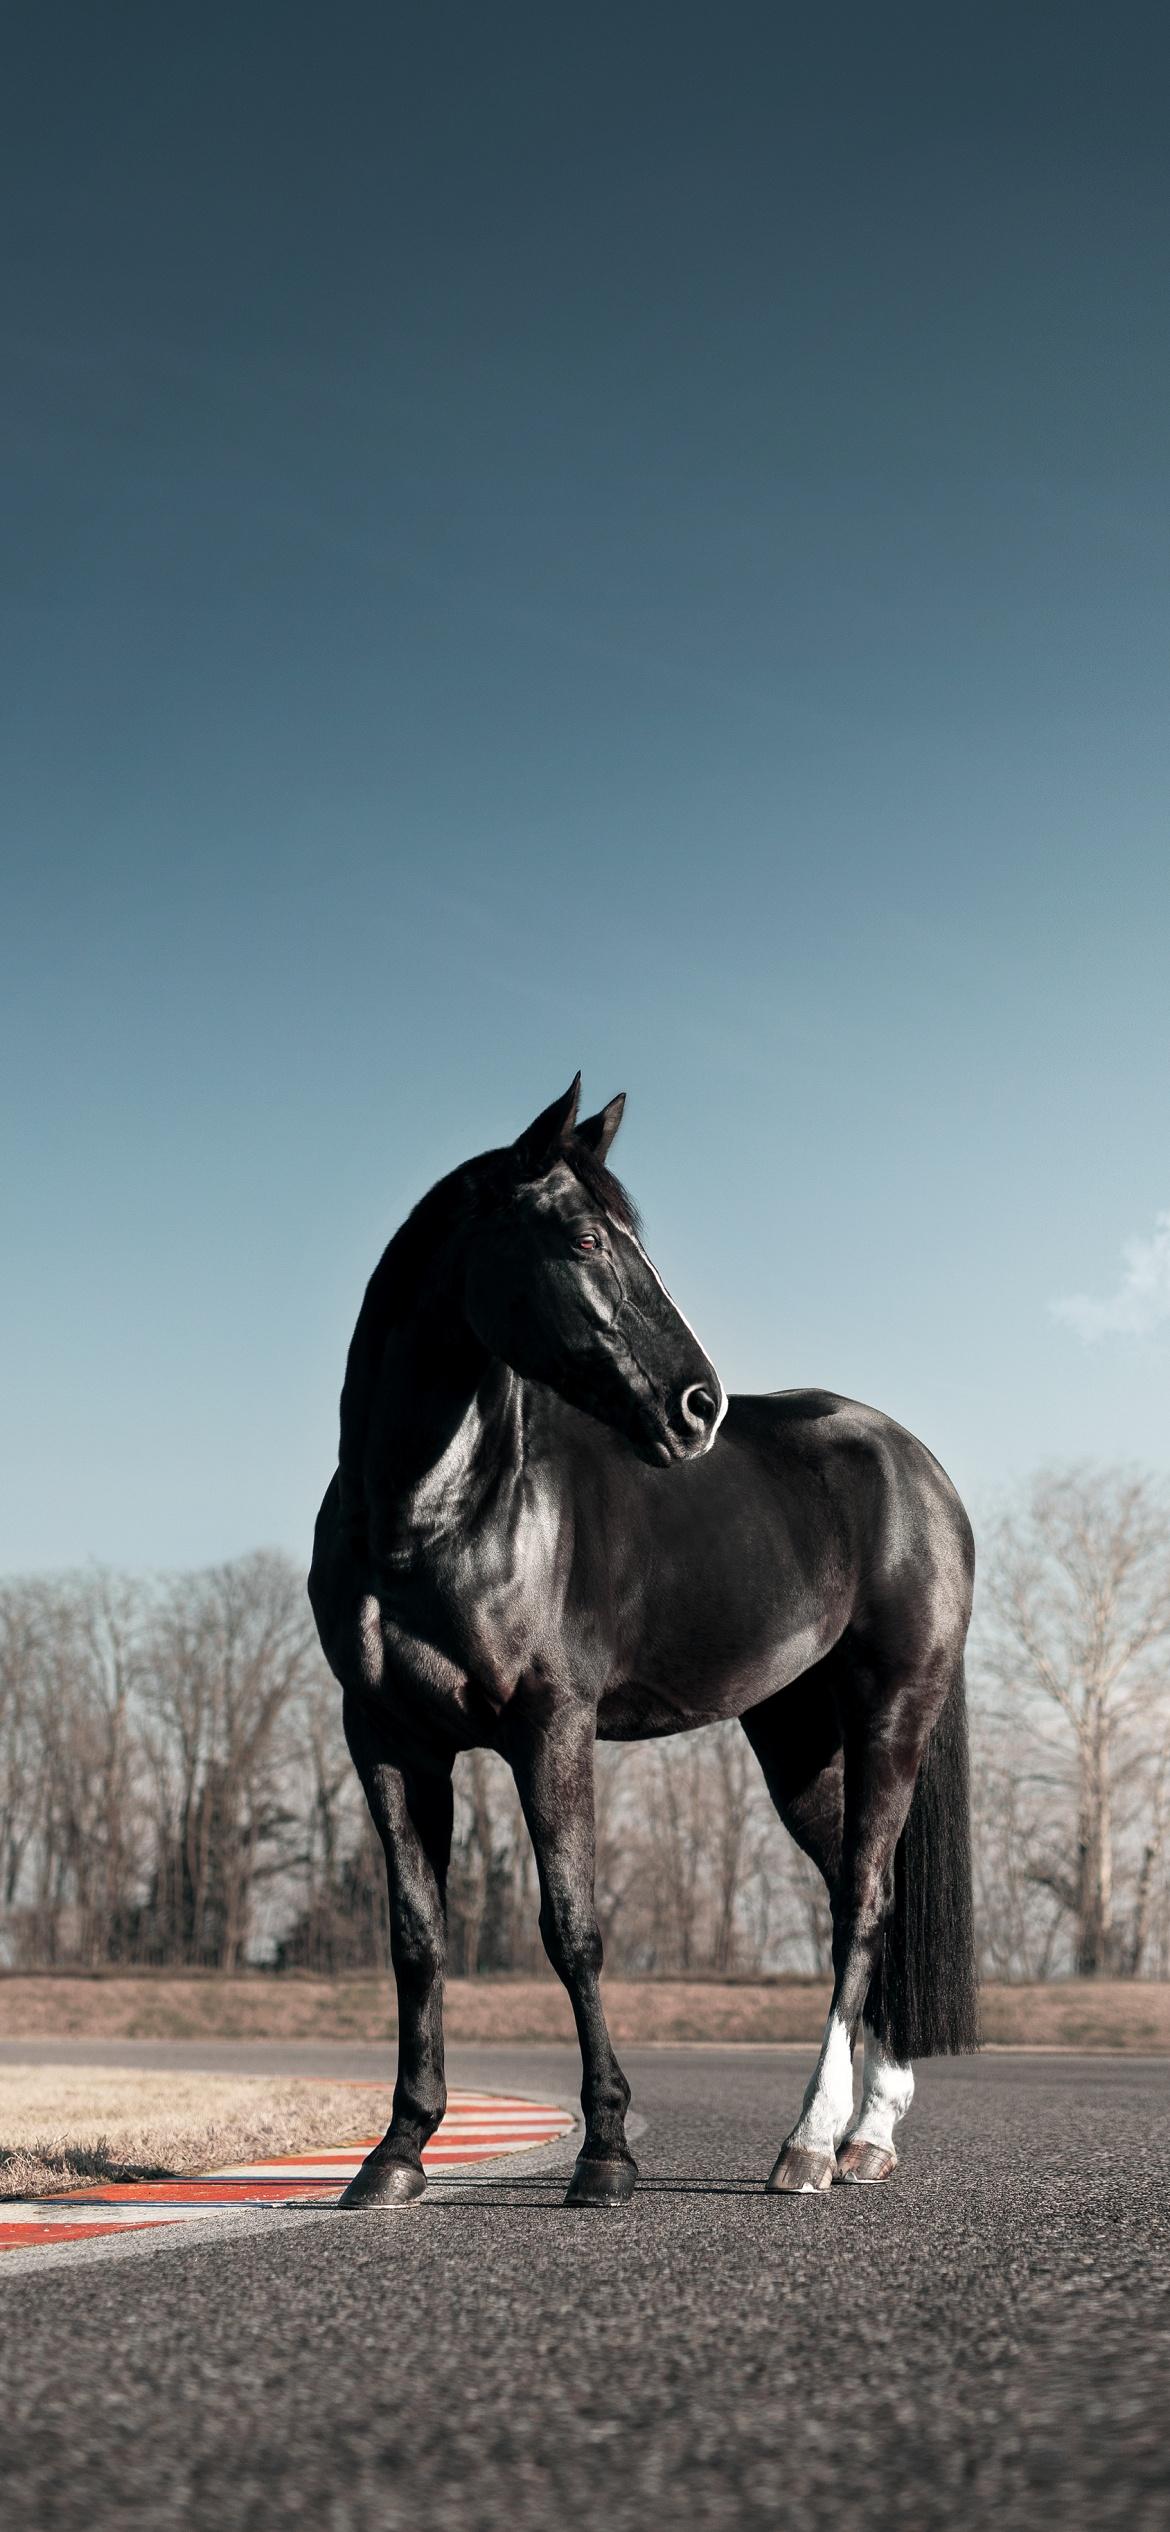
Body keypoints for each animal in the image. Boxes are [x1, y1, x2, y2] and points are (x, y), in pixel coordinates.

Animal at [308, 1076, 978, 2208]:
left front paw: (607, 2152)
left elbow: (572, 1931)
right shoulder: (388, 1739)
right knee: (863, 1893)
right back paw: (867, 2135)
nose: (698, 1406)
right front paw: (395, 2154)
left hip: (893, 1710)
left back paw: (808, 2143)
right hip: (796, 1739)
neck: (431, 1514)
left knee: (863, 1904)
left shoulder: (551, 1727)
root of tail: (917, 1463)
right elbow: (417, 1939)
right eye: (583, 1238)